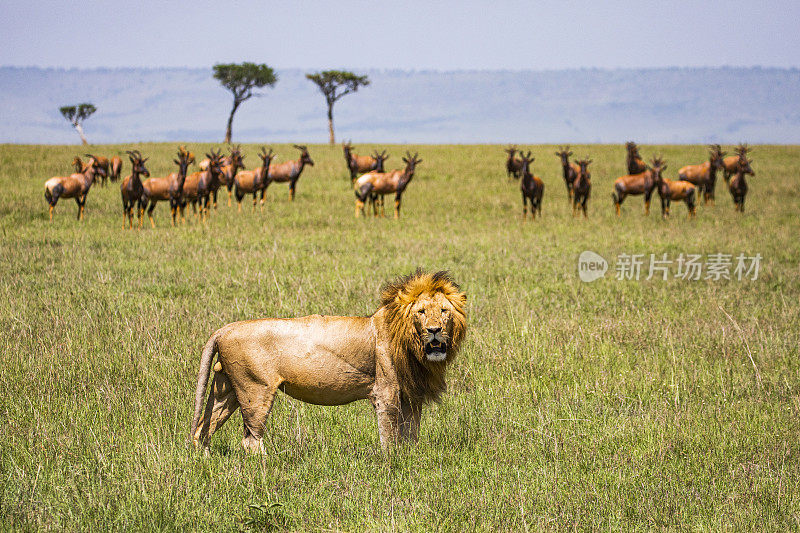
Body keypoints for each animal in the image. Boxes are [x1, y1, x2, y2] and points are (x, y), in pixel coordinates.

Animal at [192, 268, 468, 450]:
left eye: (443, 311)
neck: (411, 346)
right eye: (421, 312)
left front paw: (410, 460)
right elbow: (389, 437)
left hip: (226, 388)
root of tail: (224, 329)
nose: (434, 329)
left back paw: (203, 465)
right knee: (250, 439)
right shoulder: (386, 392)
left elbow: (410, 435)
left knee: (202, 429)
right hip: (255, 390)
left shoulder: (412, 396)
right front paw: (392, 466)